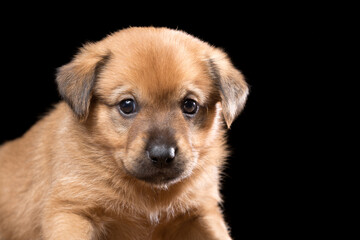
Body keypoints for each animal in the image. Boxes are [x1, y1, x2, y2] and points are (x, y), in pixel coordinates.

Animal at [0, 27, 248, 239]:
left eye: (190, 105)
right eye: (127, 105)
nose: (162, 155)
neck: (148, 194)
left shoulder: (202, 212)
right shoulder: (70, 211)